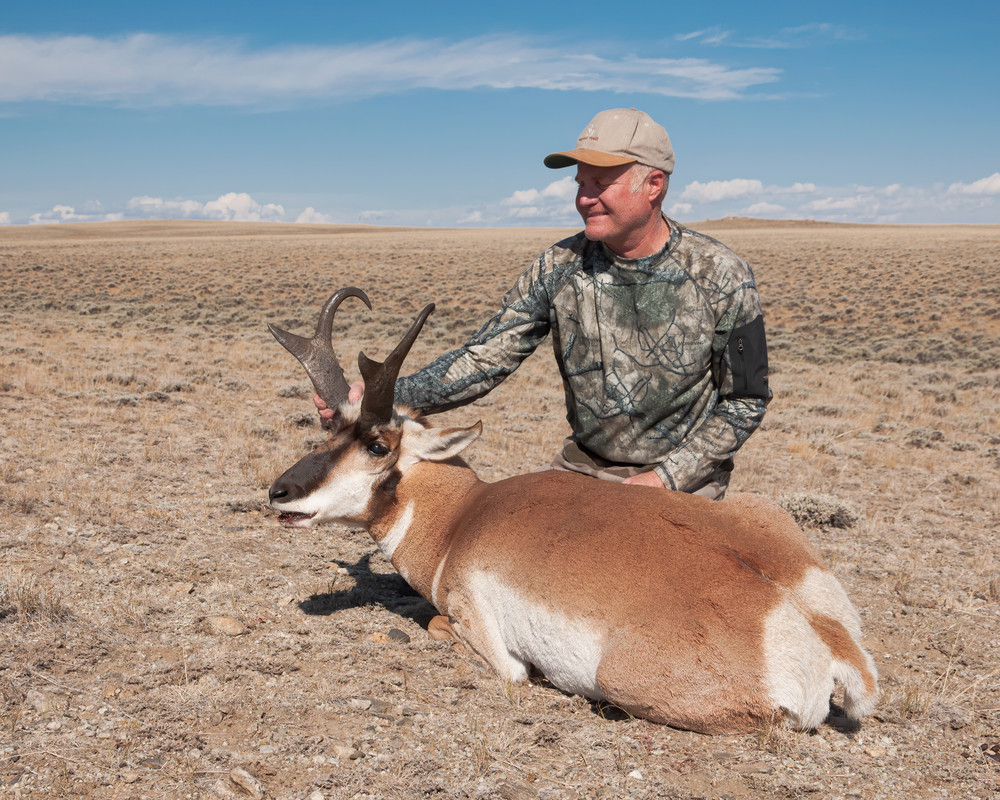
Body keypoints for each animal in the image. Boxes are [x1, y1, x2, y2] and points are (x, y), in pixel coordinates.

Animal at [267, 288, 878, 734]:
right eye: (329, 429)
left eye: (377, 446)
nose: (279, 492)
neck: (463, 517)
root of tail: (824, 634)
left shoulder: (482, 634)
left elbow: (455, 635)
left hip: (620, 678)